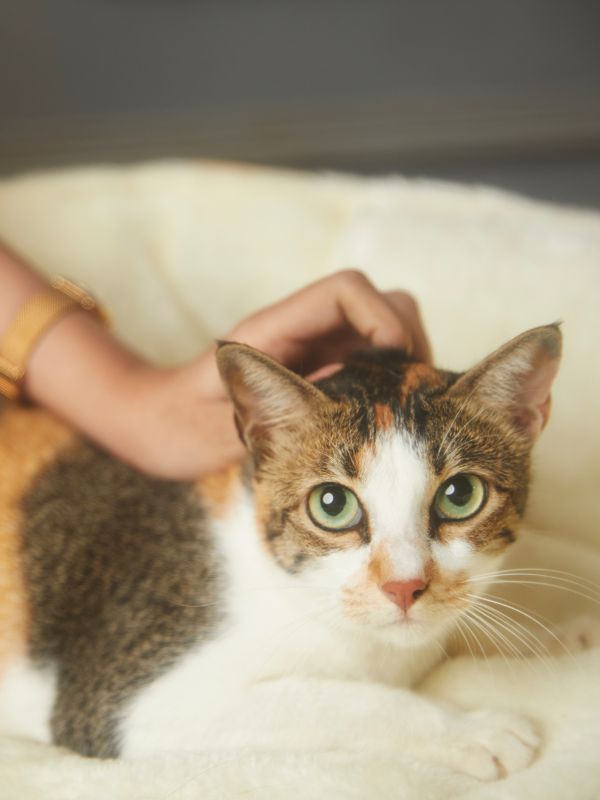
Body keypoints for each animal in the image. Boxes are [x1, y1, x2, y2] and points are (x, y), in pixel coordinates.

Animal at [0, 322, 564, 780]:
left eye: (460, 495)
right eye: (332, 504)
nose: (404, 586)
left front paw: (558, 630)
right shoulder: (118, 696)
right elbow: (334, 700)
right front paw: (476, 731)